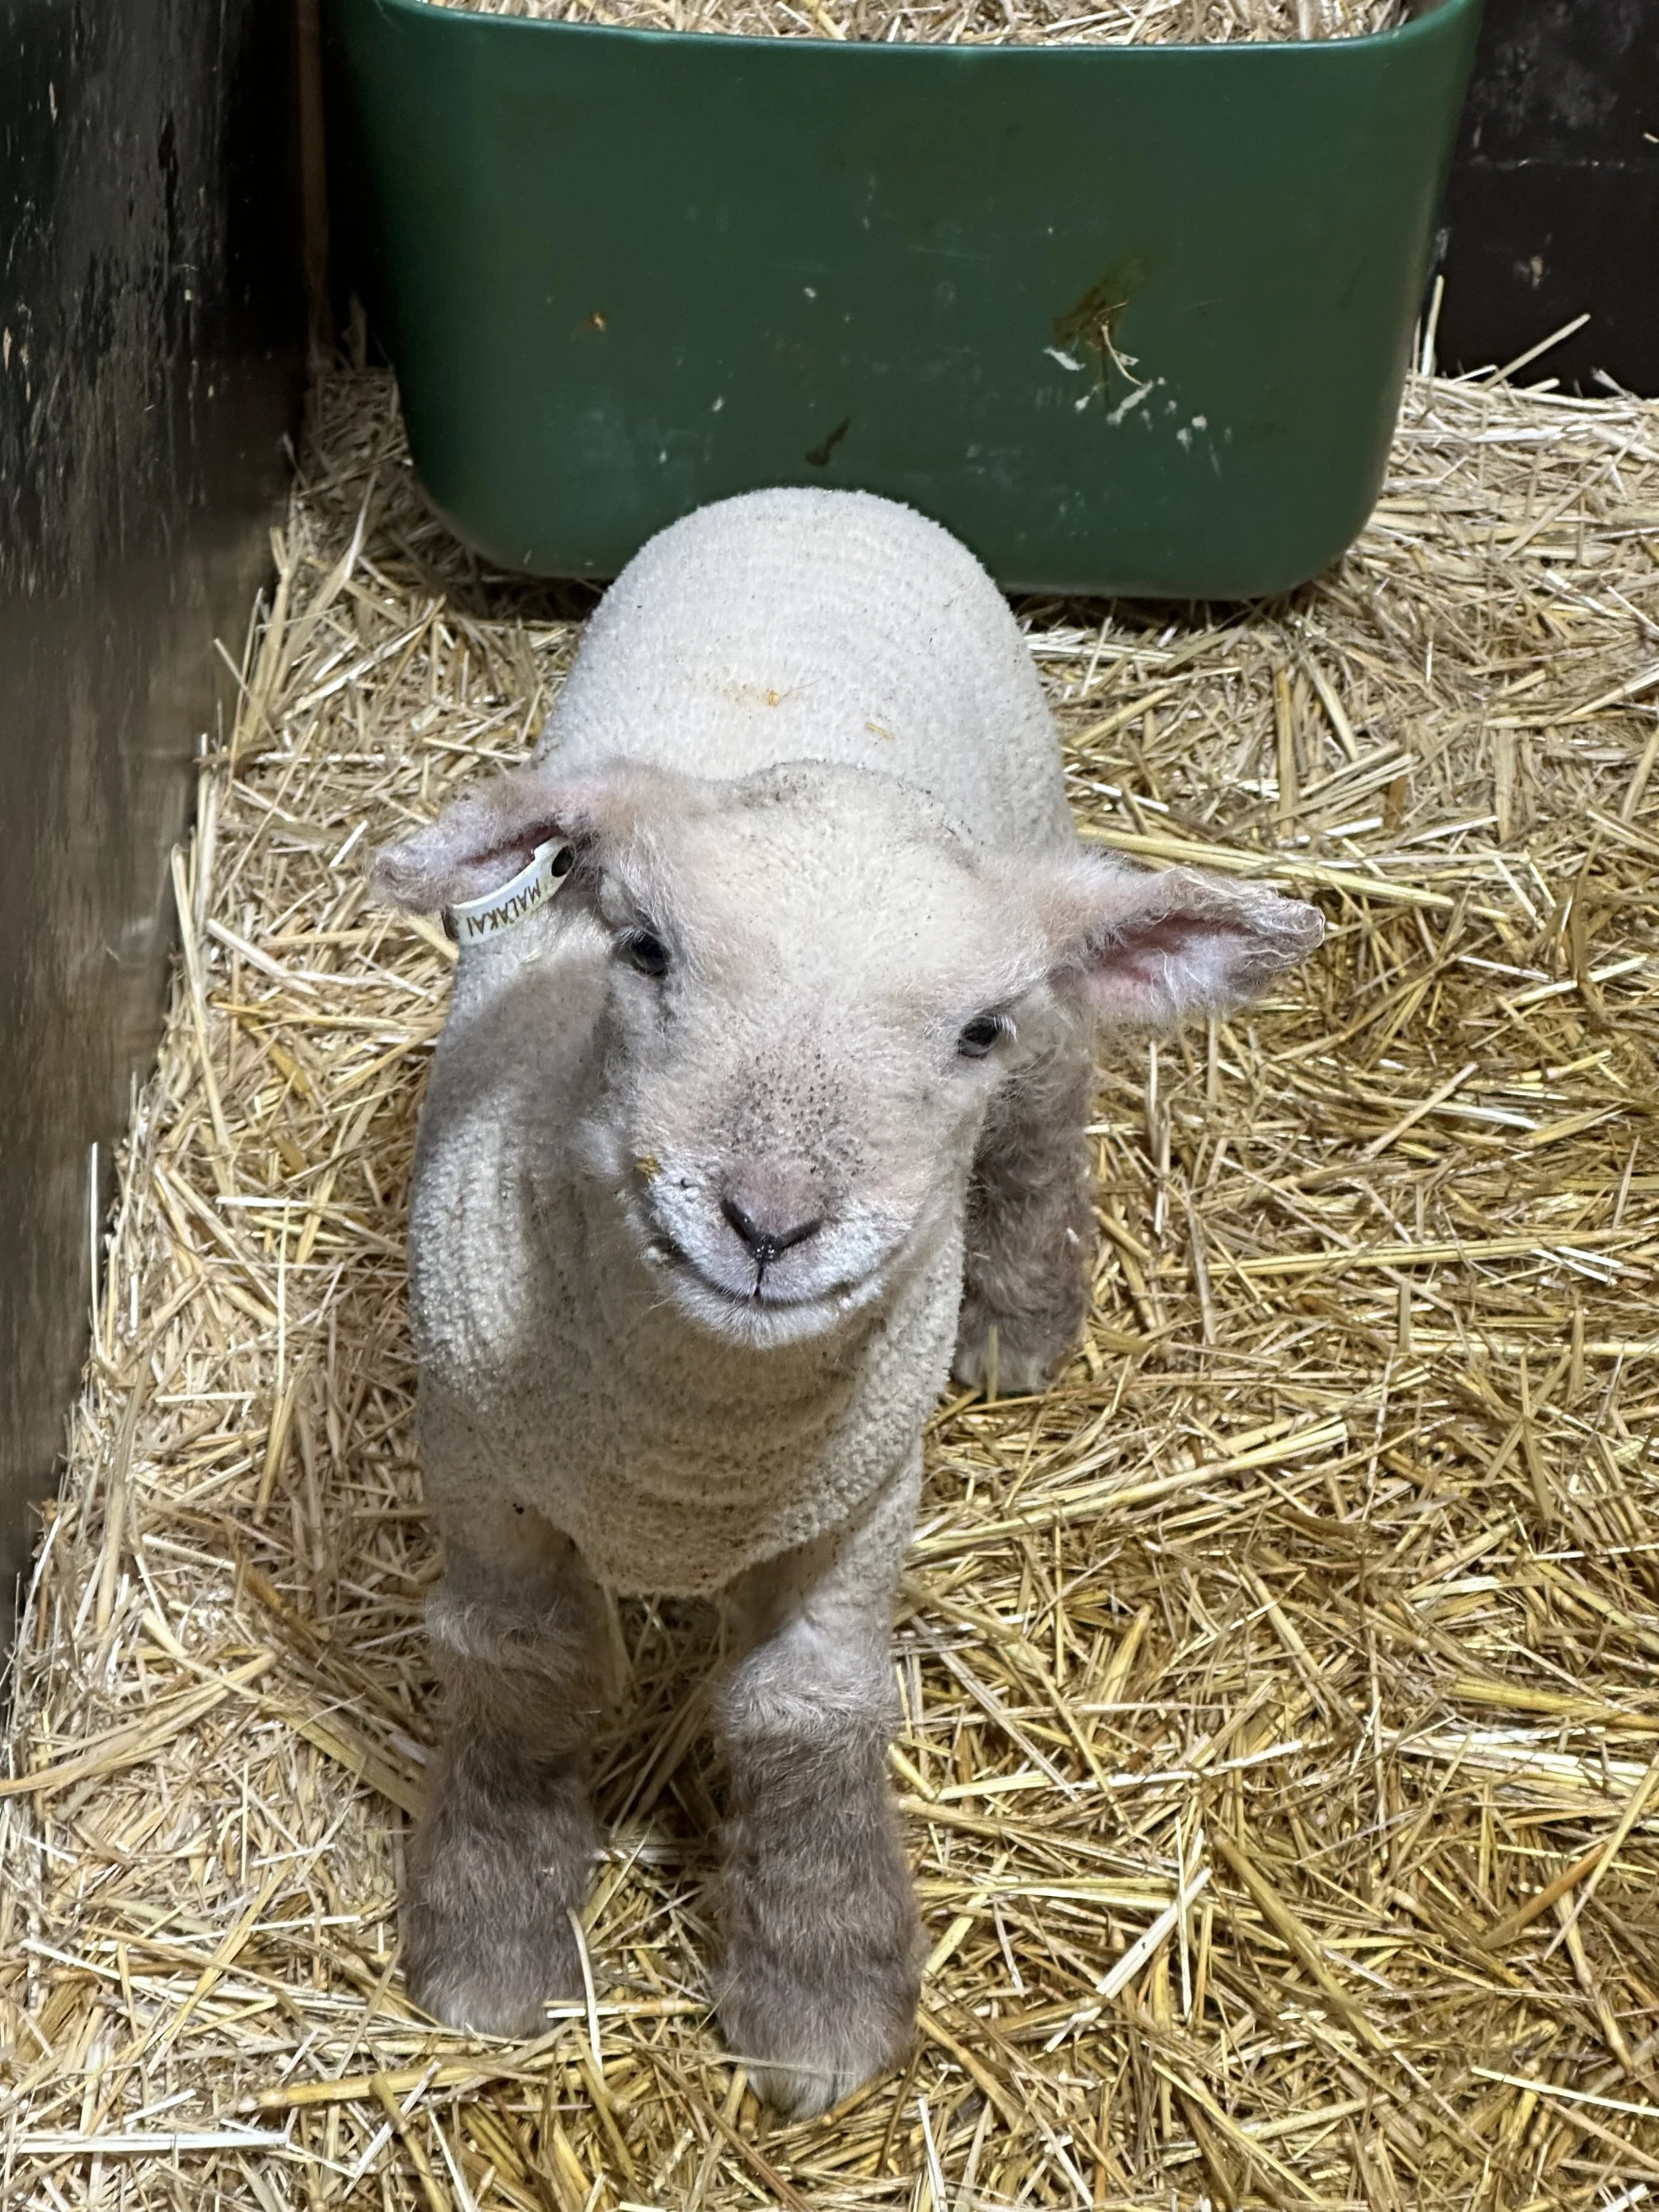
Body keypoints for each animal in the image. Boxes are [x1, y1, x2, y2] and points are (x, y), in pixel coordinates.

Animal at [372, 487, 1324, 2114]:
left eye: (970, 1027)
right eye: (643, 948)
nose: (769, 1222)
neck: (695, 1442)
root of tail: (819, 492)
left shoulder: (860, 1503)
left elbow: (804, 1715)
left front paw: (821, 1994)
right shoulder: (483, 1480)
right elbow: (523, 1671)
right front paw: (491, 1935)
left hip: (1045, 885)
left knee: (1059, 1093)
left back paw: (1016, 1308)